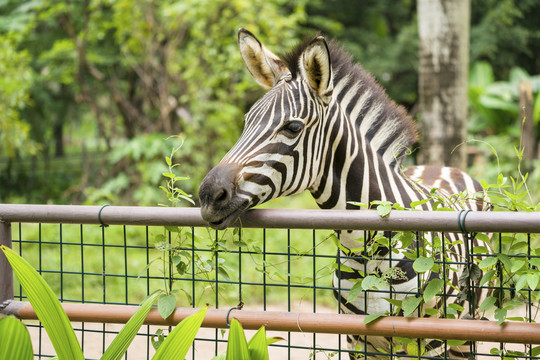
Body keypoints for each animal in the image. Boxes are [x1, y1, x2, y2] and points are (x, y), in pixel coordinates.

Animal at [198, 28, 490, 360]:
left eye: (292, 127)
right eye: (246, 122)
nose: (209, 195)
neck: (366, 252)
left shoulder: (431, 341)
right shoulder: (358, 339)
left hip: (466, 332)